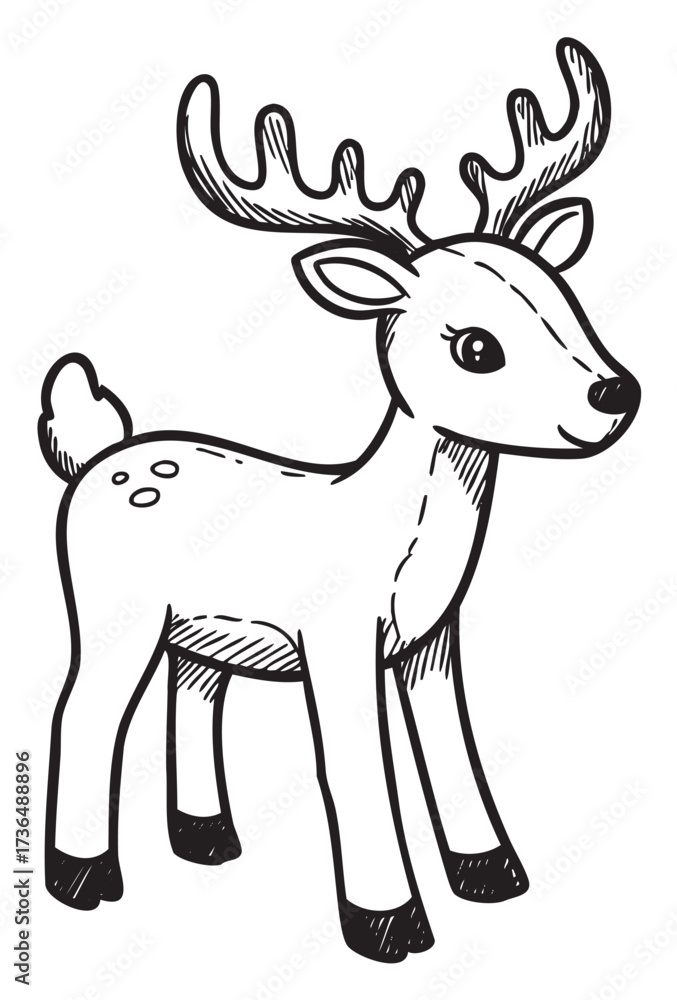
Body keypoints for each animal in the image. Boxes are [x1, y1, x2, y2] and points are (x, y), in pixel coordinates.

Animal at [40, 38, 639, 963]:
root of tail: (94, 456)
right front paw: (388, 926)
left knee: (192, 696)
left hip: (198, 632)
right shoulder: (333, 641)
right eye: (475, 346)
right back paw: (84, 882)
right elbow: (354, 767)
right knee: (84, 711)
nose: (615, 393)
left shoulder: (430, 640)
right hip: (111, 609)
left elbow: (450, 745)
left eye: (563, 300)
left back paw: (206, 841)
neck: (392, 535)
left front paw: (492, 877)